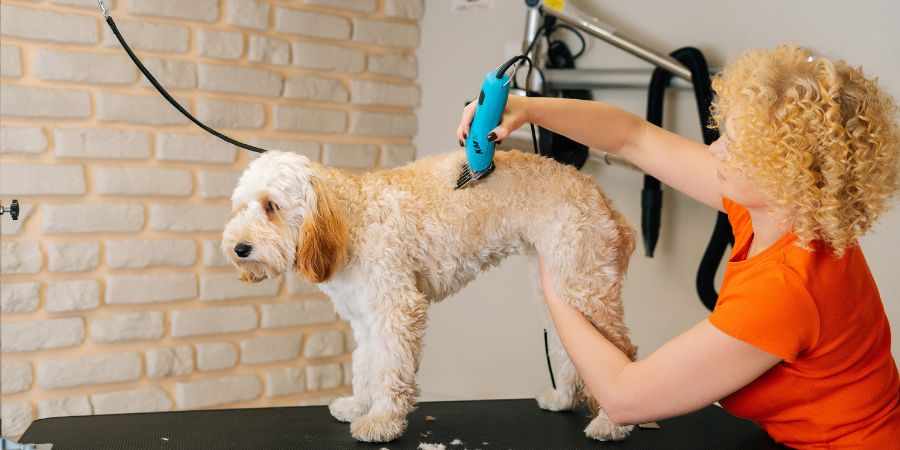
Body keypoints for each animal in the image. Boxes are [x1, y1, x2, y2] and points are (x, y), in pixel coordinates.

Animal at [221, 149, 636, 442]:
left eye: (271, 206)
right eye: (240, 207)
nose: (238, 248)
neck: (351, 219)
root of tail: (599, 194)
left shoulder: (396, 309)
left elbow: (390, 369)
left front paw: (383, 422)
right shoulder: (367, 317)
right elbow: (365, 364)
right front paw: (359, 405)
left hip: (586, 285)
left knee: (622, 355)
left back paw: (611, 424)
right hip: (556, 286)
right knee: (572, 348)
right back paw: (562, 399)